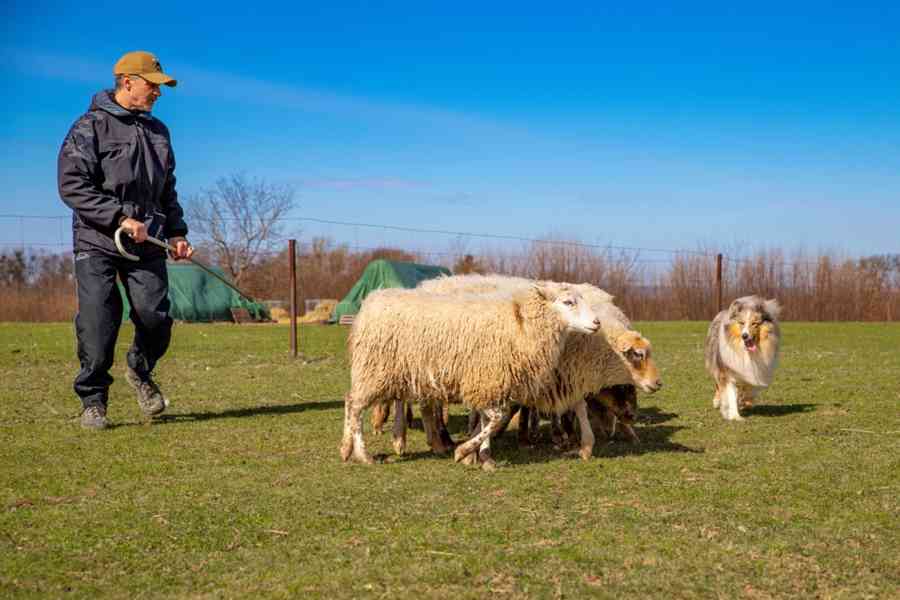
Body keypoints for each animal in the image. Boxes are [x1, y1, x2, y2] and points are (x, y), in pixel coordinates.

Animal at [342, 282, 600, 468]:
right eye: (568, 302)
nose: (597, 323)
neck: (521, 325)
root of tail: (371, 300)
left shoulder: (489, 384)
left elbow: (488, 420)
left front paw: (485, 457)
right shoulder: (485, 380)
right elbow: (495, 418)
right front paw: (463, 451)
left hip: (387, 371)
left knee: (350, 400)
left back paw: (346, 449)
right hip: (375, 370)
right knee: (355, 406)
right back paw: (363, 455)